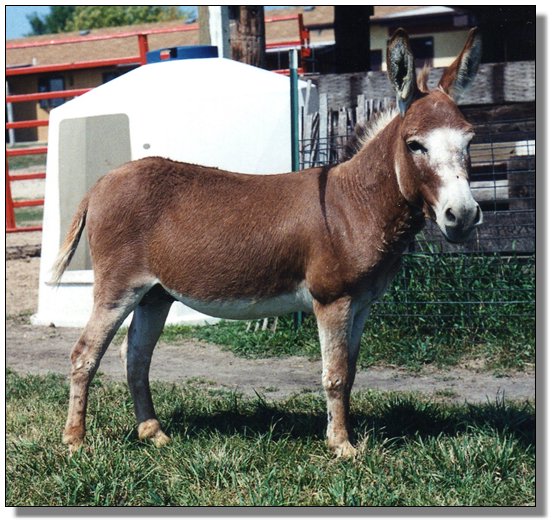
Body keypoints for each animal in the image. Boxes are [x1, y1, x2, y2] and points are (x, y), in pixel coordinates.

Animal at [52, 28, 482, 457]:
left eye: (470, 141)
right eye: (415, 145)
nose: (462, 216)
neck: (355, 203)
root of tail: (102, 182)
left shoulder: (361, 304)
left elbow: (351, 371)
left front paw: (343, 436)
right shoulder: (332, 300)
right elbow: (335, 374)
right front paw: (342, 448)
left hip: (155, 294)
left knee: (136, 356)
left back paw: (153, 432)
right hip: (119, 287)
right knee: (84, 354)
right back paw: (75, 441)